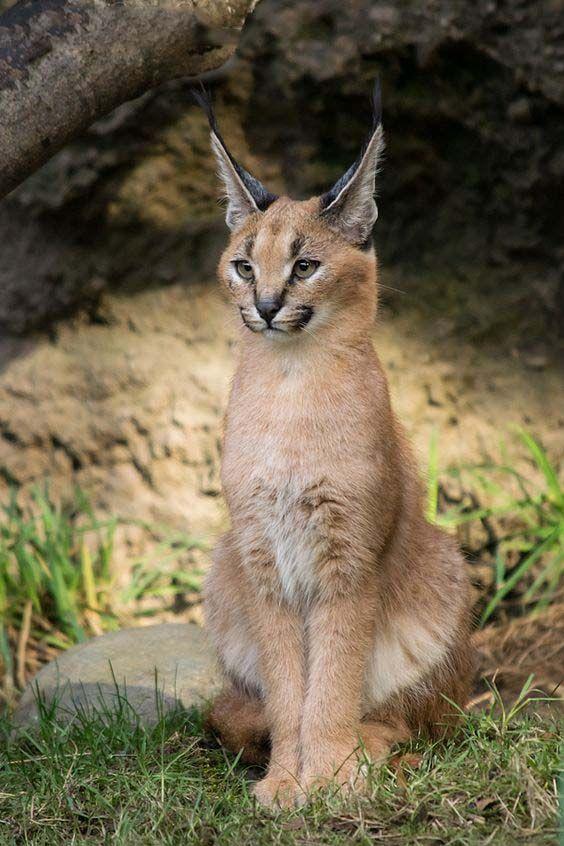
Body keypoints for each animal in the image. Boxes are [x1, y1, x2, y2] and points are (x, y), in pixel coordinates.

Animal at [197, 84, 472, 808]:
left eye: (305, 266)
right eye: (244, 265)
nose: (266, 306)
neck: (290, 380)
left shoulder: (348, 559)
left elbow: (335, 676)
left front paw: (326, 778)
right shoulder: (262, 557)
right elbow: (288, 685)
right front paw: (284, 783)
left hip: (444, 563)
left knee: (424, 719)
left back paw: (370, 750)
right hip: (222, 567)